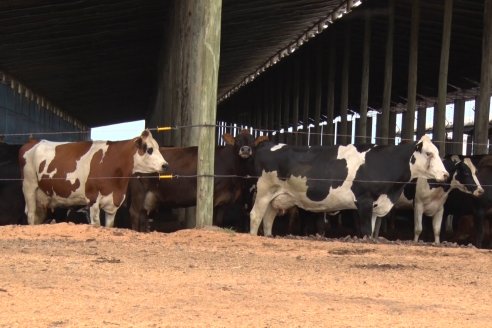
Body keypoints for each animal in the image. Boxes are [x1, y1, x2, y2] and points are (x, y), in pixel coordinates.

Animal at [19, 129, 167, 227]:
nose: (165, 165)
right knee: (31, 214)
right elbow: (96, 224)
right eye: (149, 149)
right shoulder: (93, 199)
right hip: (29, 186)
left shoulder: (113, 204)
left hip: (42, 198)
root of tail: (33, 141)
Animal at [128, 129, 266, 232]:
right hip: (138, 191)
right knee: (134, 213)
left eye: (253, 142)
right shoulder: (214, 197)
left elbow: (218, 221)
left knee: (143, 215)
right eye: (237, 141)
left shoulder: (223, 201)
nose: (245, 149)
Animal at [250, 135, 450, 237]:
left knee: (267, 220)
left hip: (276, 198)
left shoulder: (375, 206)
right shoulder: (364, 202)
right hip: (263, 192)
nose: (446, 174)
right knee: (255, 216)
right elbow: (366, 232)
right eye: (429, 153)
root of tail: (268, 144)